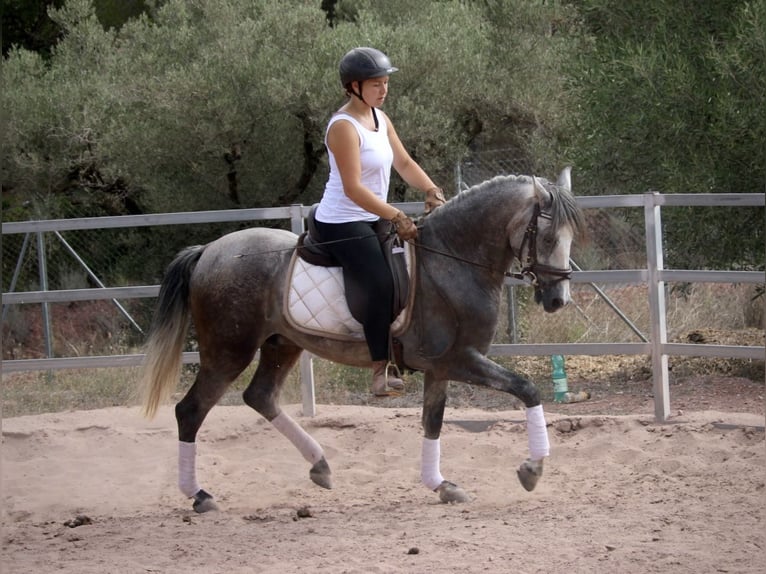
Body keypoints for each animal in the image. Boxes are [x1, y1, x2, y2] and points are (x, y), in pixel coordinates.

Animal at [141, 168, 584, 512]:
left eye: (570, 237)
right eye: (547, 238)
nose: (558, 300)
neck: (451, 260)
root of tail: (209, 252)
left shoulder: (440, 367)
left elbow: (433, 420)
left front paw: (441, 485)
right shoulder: (459, 360)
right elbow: (526, 389)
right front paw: (532, 470)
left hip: (282, 344)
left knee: (260, 397)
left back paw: (320, 466)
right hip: (228, 351)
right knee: (191, 411)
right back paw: (200, 495)